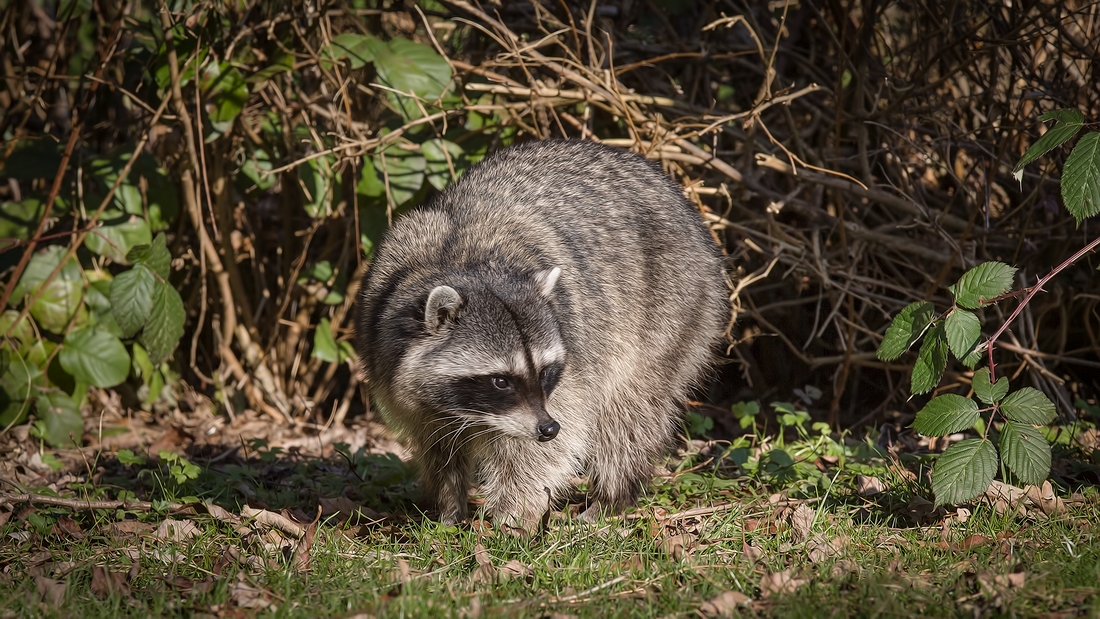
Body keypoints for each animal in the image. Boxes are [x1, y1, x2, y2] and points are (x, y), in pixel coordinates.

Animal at [354, 140, 730, 532]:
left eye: (546, 371)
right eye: (500, 380)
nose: (548, 428)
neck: (461, 262)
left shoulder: (574, 361)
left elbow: (546, 445)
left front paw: (513, 515)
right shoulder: (384, 344)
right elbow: (436, 443)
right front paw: (448, 506)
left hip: (674, 303)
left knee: (630, 407)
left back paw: (613, 493)